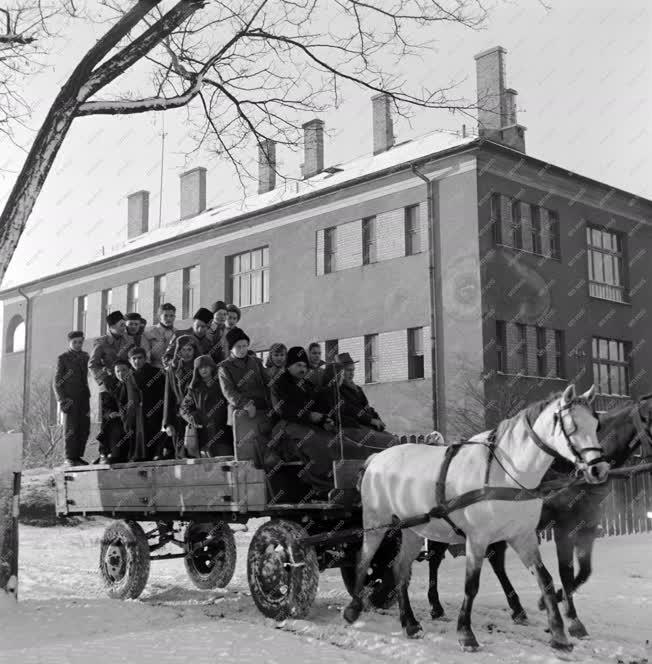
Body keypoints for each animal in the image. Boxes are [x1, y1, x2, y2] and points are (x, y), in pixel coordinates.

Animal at [344, 386, 608, 652]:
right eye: (572, 425)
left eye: (596, 424)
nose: (599, 469)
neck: (507, 474)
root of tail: (376, 459)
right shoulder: (478, 538)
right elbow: (471, 585)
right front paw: (466, 634)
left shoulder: (523, 536)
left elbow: (545, 579)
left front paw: (559, 634)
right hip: (375, 522)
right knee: (364, 560)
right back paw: (354, 608)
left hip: (412, 529)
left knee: (400, 569)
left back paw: (409, 623)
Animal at [428, 394, 652, 640]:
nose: (598, 470)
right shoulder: (564, 529)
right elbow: (566, 572)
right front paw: (571, 618)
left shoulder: (587, 528)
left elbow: (584, 572)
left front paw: (551, 602)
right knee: (435, 558)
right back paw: (436, 606)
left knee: (496, 562)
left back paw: (517, 609)